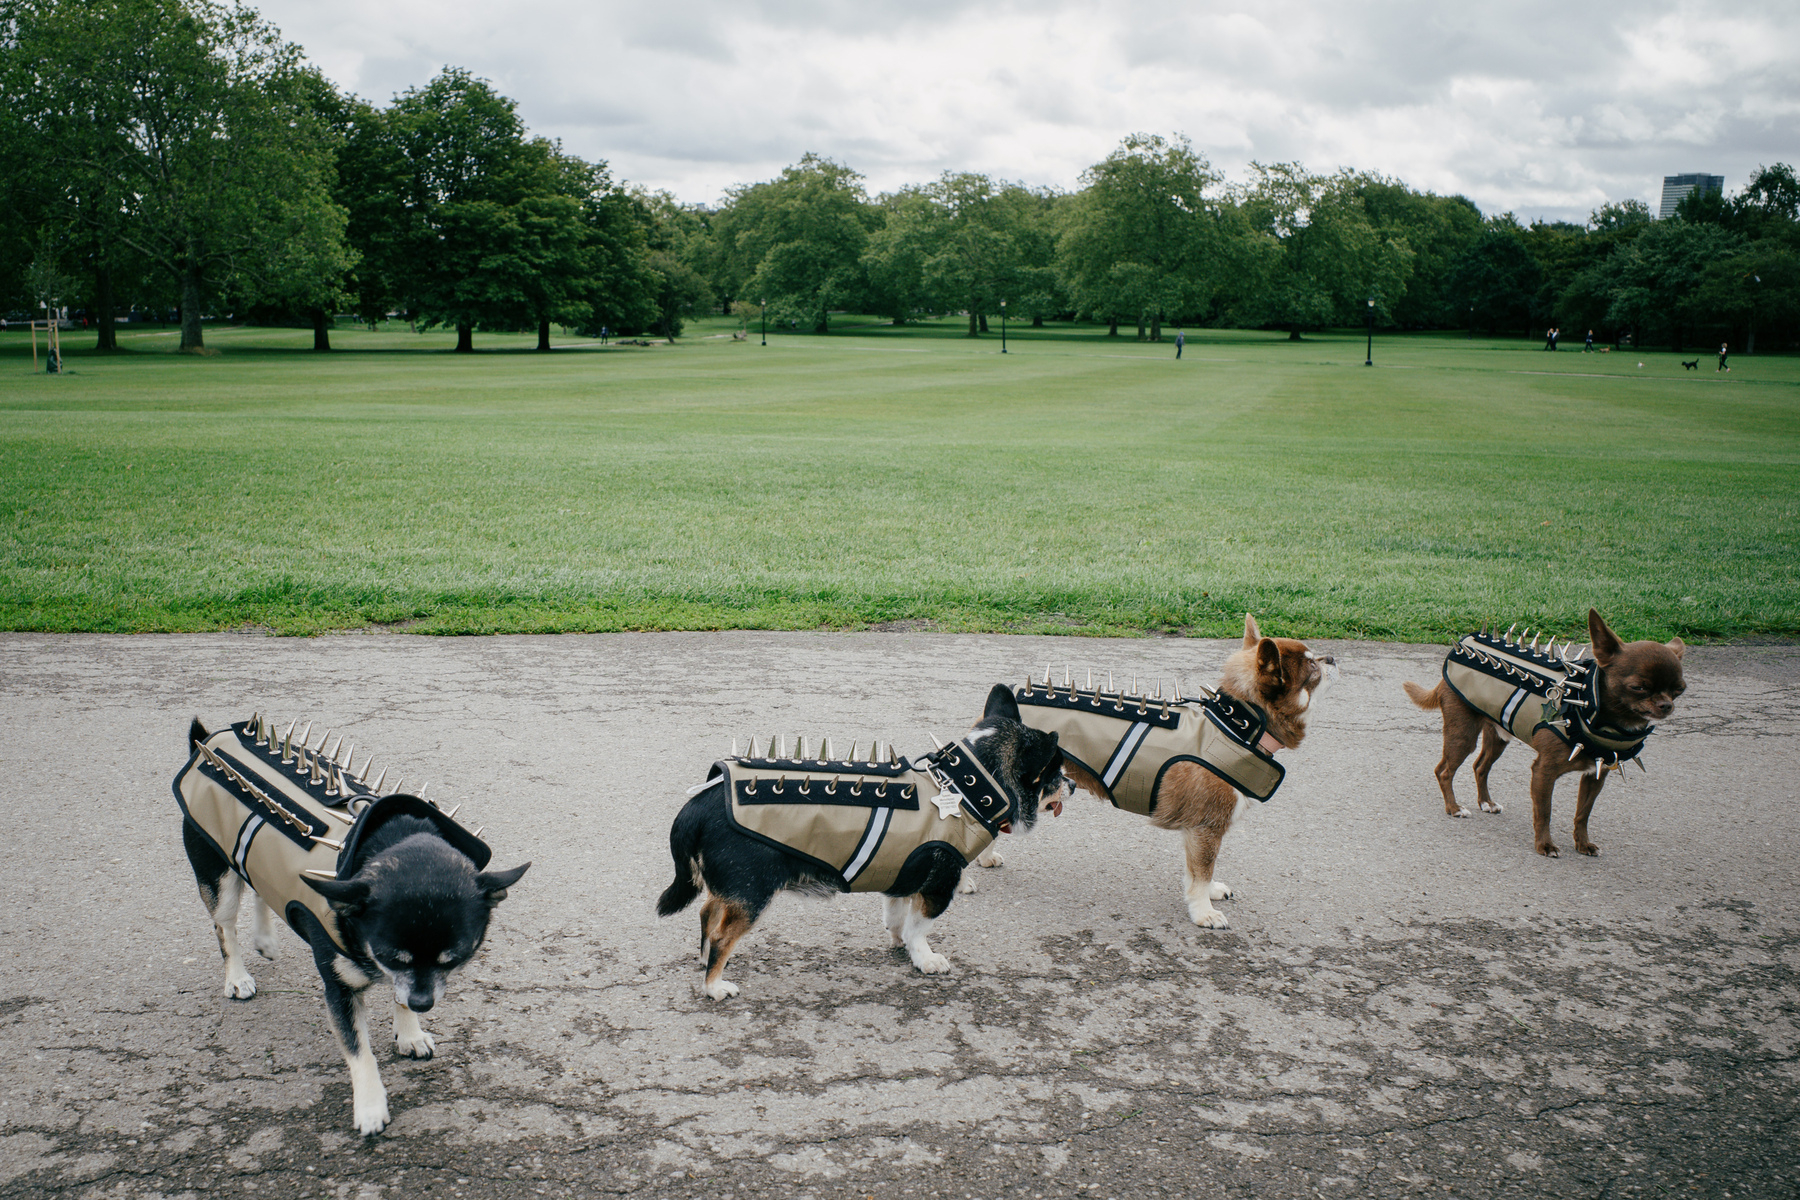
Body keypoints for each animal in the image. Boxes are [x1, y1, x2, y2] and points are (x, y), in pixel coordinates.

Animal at [176, 719, 525, 1144]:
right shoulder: (342, 990)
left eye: (455, 959)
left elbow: (399, 996)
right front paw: (371, 1106)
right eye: (391, 956)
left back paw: (265, 938)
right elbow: (360, 1053)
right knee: (225, 927)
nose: (424, 1004)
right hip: (218, 876)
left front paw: (409, 1032)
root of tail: (206, 739)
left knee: (260, 885)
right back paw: (237, 976)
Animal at [658, 690, 1065, 1000]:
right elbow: (919, 928)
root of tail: (698, 804)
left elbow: (897, 918)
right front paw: (925, 958)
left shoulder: (902, 878)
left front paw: (901, 944)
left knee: (707, 913)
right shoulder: (937, 889)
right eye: (1056, 773)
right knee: (722, 935)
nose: (1073, 784)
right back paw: (714, 985)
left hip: (733, 889)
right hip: (753, 892)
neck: (965, 788)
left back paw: (703, 958)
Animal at [1396, 615, 1677, 859]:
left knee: (1480, 767)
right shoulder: (1543, 772)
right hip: (1462, 735)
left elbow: (1582, 814)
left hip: (1498, 736)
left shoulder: (1595, 776)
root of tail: (1459, 648)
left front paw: (1583, 844)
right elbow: (1544, 812)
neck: (1588, 705)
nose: (1666, 706)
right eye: (1638, 687)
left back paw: (1486, 803)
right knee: (1444, 770)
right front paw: (1545, 845)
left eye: (1679, 689)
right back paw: (1454, 808)